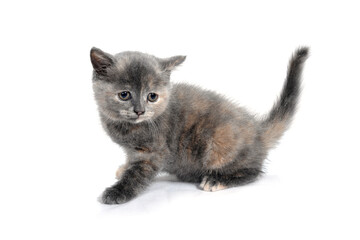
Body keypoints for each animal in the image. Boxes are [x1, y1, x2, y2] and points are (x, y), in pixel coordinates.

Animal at [90, 47, 310, 204]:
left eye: (152, 96)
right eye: (124, 95)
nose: (139, 110)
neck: (127, 126)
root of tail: (258, 131)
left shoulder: (153, 154)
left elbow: (135, 176)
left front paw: (117, 192)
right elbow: (130, 162)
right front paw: (124, 168)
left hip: (219, 143)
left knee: (253, 171)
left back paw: (216, 179)